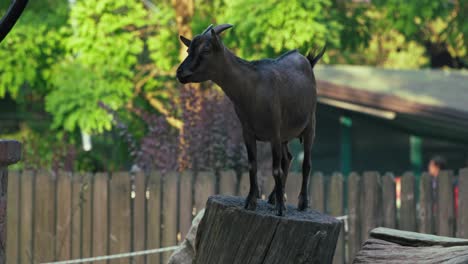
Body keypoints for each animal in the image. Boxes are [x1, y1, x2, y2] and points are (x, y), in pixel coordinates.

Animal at [176, 23, 326, 216]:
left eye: (206, 50)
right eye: (189, 49)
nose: (180, 72)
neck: (251, 89)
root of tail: (307, 60)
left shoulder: (274, 132)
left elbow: (275, 169)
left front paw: (280, 208)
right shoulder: (247, 131)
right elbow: (252, 165)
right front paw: (251, 201)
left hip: (309, 124)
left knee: (306, 163)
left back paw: (301, 202)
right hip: (285, 135)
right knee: (288, 158)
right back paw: (273, 197)